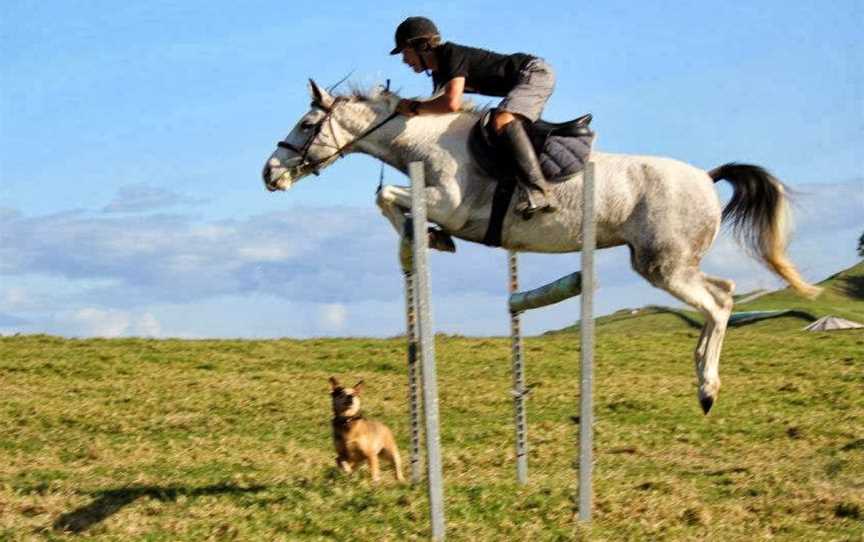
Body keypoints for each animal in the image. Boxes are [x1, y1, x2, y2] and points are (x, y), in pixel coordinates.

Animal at [260, 78, 820, 414]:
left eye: (306, 125)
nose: (270, 174)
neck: (427, 141)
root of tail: (706, 177)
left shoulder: (452, 203)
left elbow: (388, 197)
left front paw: (427, 238)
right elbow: (389, 201)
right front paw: (423, 239)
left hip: (664, 265)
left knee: (718, 302)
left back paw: (707, 385)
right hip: (667, 263)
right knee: (722, 292)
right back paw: (702, 380)